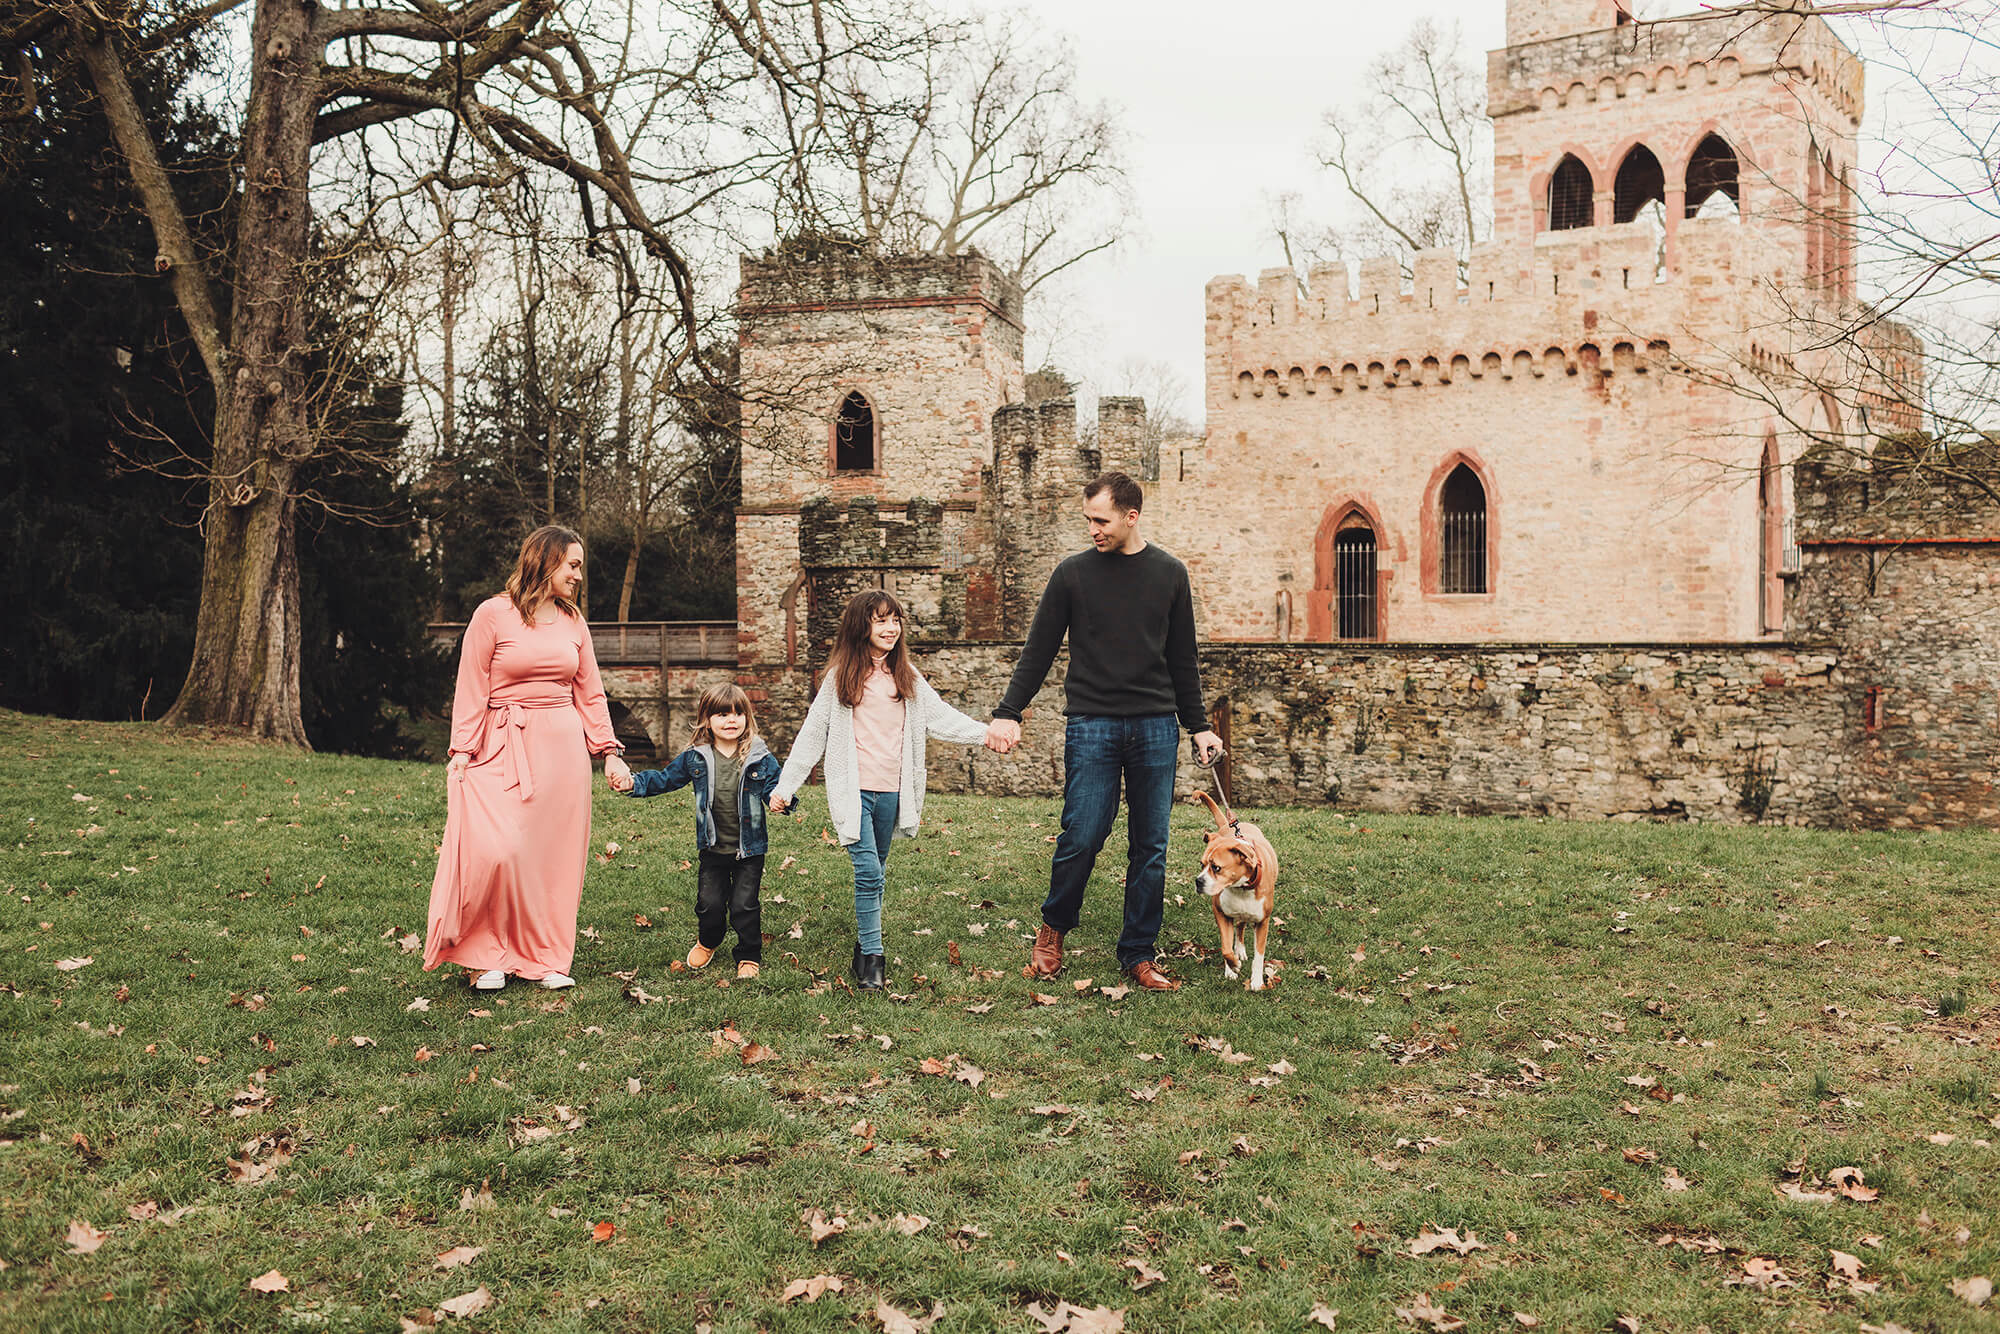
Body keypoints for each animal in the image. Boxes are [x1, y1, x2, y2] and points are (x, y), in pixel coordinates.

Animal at [1192, 792, 1272, 992]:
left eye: (1216, 868)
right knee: (1239, 928)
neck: (1241, 887)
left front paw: (1257, 980)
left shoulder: (1263, 922)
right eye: (1202, 865)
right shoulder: (1221, 914)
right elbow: (1226, 947)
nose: (1198, 881)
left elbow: (1259, 955)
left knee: (1241, 926)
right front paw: (1232, 966)